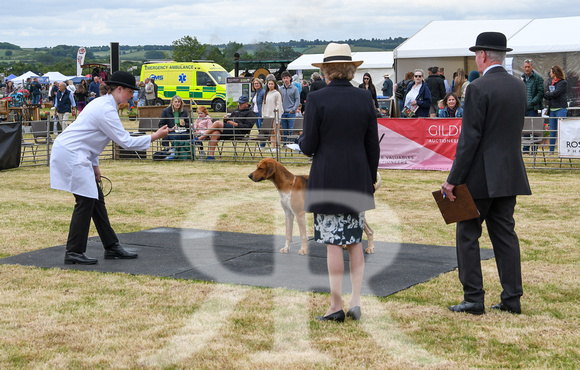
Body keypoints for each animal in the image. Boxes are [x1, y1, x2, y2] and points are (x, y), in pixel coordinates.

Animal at [248, 158, 376, 256]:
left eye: (260, 168)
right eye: (257, 167)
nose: (249, 175)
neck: (287, 184)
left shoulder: (299, 214)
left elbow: (303, 235)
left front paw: (304, 250)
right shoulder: (288, 214)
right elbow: (288, 234)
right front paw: (286, 249)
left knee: (369, 231)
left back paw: (370, 248)